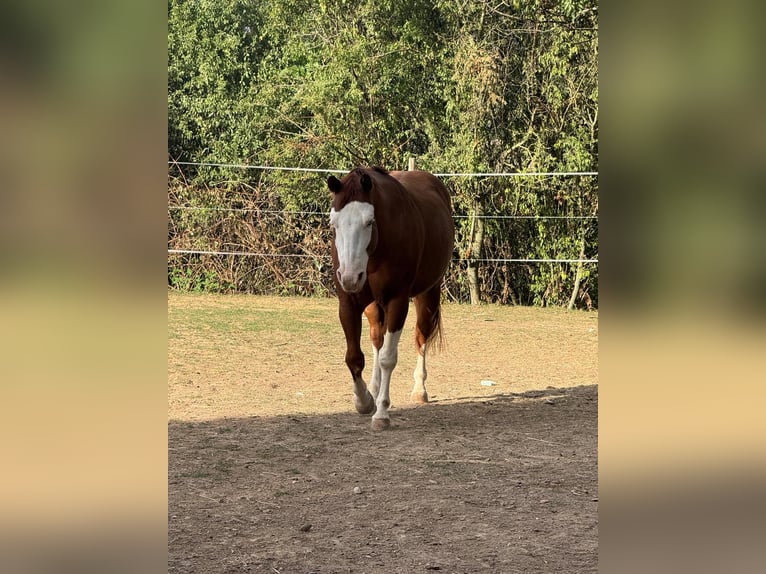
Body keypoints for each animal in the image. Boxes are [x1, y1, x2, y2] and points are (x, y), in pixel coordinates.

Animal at [327, 166, 455, 430]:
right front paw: (364, 400)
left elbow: (388, 358)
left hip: (428, 295)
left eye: (369, 221)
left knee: (420, 337)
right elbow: (354, 357)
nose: (350, 276)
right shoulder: (348, 303)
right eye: (334, 223)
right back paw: (374, 388)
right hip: (374, 306)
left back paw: (419, 389)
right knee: (377, 338)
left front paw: (381, 413)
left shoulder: (398, 301)